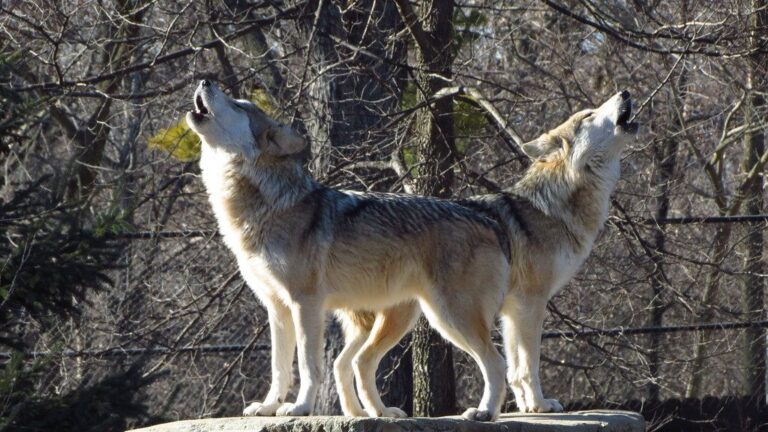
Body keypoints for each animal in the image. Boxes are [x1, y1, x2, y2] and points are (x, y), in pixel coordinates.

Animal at [187, 80, 513, 421]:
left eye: (240, 106)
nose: (205, 81)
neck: (267, 206)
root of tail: (489, 220)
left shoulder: (305, 303)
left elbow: (308, 365)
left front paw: (300, 407)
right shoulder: (276, 308)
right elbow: (279, 368)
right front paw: (268, 407)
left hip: (448, 317)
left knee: (496, 361)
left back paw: (484, 412)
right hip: (403, 318)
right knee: (357, 362)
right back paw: (379, 412)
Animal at [328, 90, 640, 416]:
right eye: (589, 115)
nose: (625, 92)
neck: (554, 205)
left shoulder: (512, 311)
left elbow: (516, 368)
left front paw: (527, 407)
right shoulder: (531, 301)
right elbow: (528, 364)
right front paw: (540, 405)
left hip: (400, 320)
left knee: (341, 363)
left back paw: (358, 414)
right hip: (448, 317)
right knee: (371, 361)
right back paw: (475, 411)